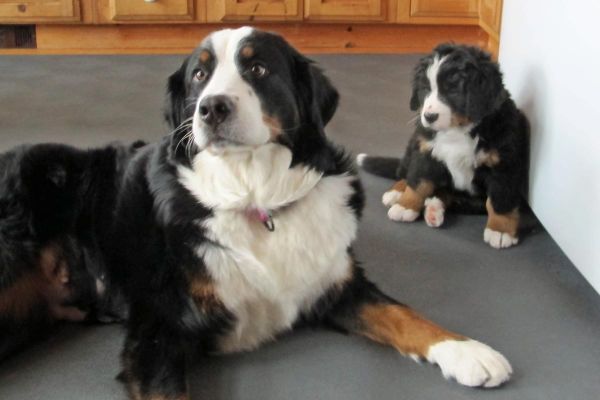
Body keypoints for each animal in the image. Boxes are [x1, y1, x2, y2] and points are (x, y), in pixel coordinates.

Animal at [108, 28, 510, 400]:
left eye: (258, 68)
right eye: (199, 75)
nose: (211, 108)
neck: (259, 199)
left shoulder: (337, 283)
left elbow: (404, 314)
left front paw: (468, 352)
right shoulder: (158, 331)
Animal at [358, 44, 528, 250]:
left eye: (453, 91)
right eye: (425, 89)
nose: (429, 117)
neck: (458, 130)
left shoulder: (503, 164)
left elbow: (500, 199)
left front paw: (500, 231)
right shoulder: (426, 152)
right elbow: (418, 182)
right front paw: (406, 206)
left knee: (448, 196)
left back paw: (433, 209)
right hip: (414, 143)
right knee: (404, 172)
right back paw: (397, 192)